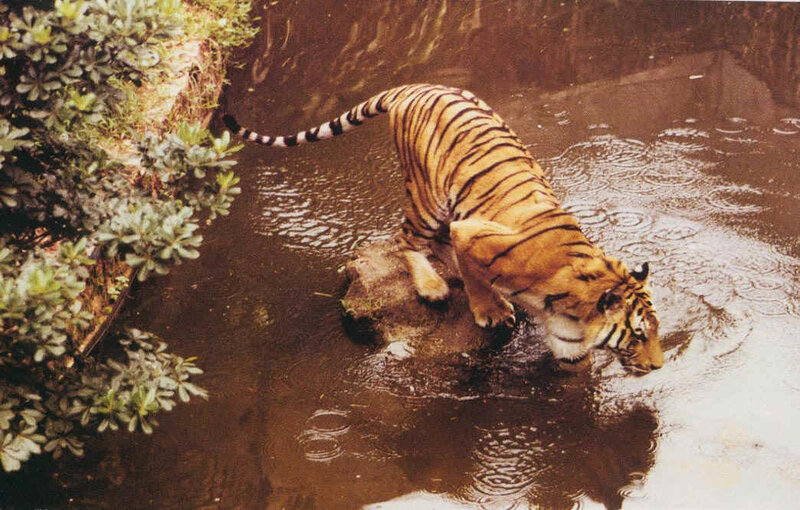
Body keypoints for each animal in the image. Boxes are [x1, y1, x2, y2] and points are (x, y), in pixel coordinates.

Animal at [223, 84, 664, 373]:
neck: (574, 307)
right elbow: (477, 278)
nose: (659, 366)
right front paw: (490, 311)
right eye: (639, 334)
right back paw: (432, 285)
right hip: (428, 196)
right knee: (408, 239)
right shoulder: (473, 234)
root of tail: (414, 86)